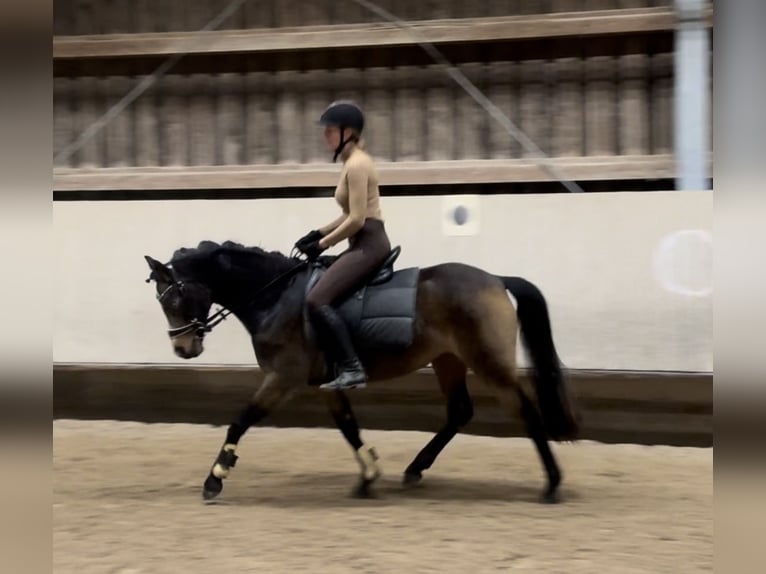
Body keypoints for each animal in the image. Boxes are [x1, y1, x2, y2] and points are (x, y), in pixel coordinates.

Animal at [144, 241, 584, 506]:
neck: (275, 297)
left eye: (174, 298)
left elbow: (241, 420)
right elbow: (348, 425)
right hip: (448, 359)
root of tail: (495, 280)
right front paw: (369, 475)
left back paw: (552, 484)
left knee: (525, 410)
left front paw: (215, 478)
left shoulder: (284, 378)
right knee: (460, 410)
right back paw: (415, 469)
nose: (183, 349)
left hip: (488, 362)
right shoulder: (324, 384)